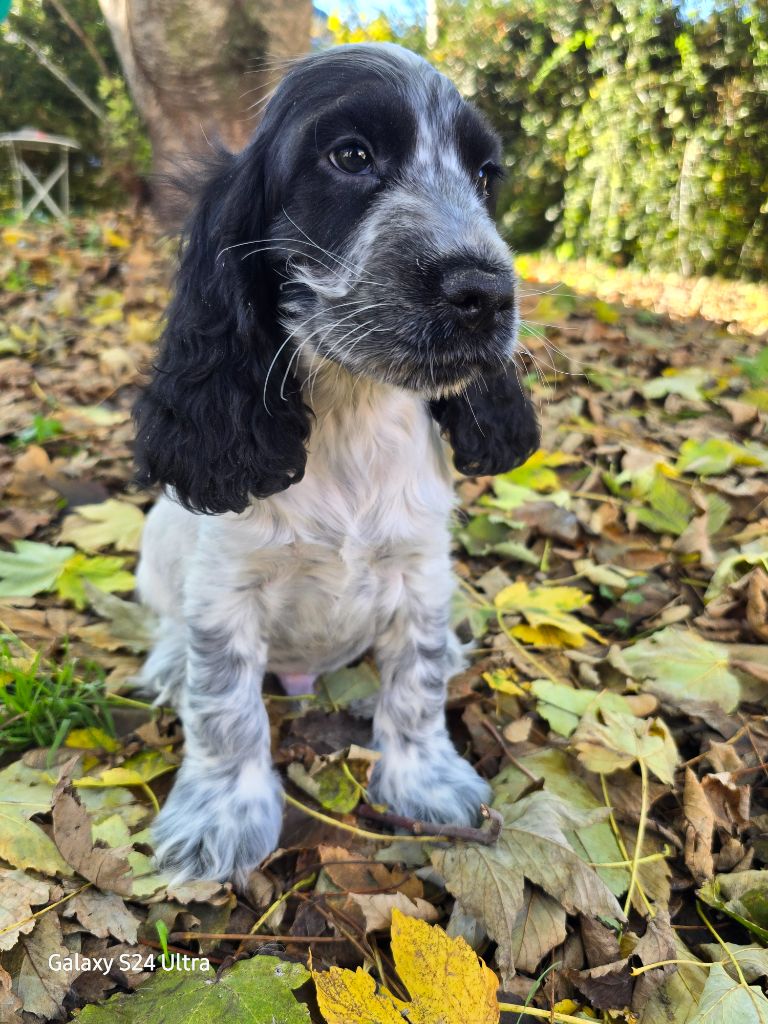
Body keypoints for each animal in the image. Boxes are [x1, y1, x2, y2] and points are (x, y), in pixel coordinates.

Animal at [134, 42, 540, 885]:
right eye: (350, 156)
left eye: (486, 176)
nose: (486, 292)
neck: (351, 411)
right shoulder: (224, 591)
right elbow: (224, 707)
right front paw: (219, 819)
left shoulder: (422, 572)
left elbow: (416, 684)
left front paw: (426, 782)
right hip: (157, 538)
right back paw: (165, 663)